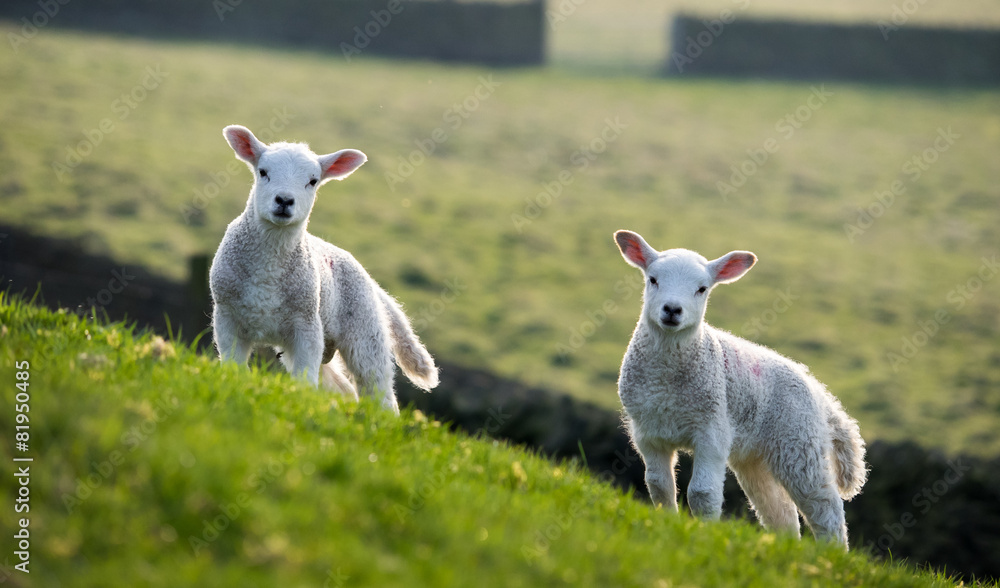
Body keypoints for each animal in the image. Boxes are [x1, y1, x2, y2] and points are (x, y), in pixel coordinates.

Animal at [209, 125, 439, 414]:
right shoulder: (227, 316)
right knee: (344, 388)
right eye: (263, 172)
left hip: (364, 332)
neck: (269, 266)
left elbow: (304, 382)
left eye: (313, 181)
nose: (284, 200)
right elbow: (233, 368)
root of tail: (371, 281)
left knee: (378, 390)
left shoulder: (306, 325)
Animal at [613, 230, 867, 547]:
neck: (666, 382)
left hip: (799, 444)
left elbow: (702, 493)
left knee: (825, 507)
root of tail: (821, 392)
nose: (672, 310)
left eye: (702, 289)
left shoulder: (712, 430)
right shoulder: (649, 432)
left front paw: (704, 534)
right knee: (779, 512)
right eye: (653, 279)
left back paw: (831, 552)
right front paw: (666, 524)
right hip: (754, 459)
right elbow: (659, 486)